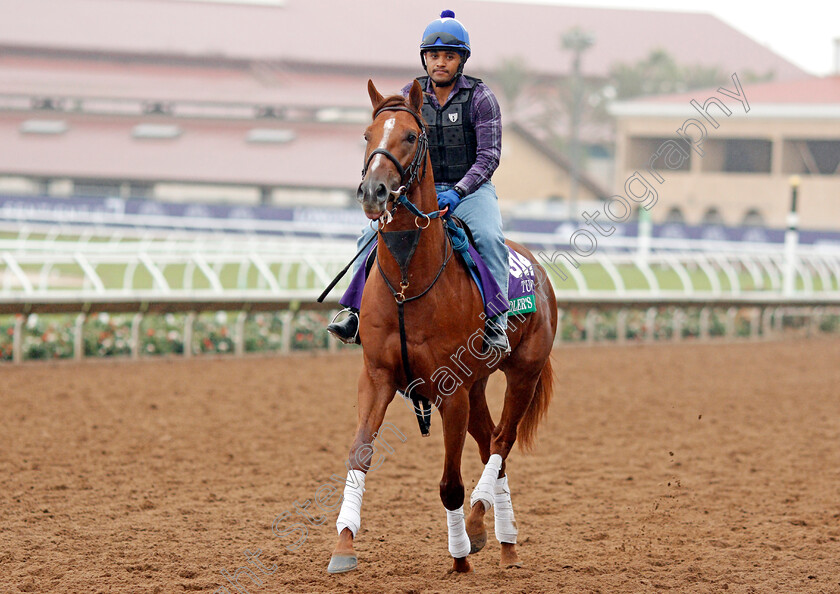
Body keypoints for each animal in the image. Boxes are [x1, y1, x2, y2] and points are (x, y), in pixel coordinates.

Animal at [328, 80, 556, 572]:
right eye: (367, 134)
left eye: (412, 136)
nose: (373, 192)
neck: (408, 282)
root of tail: (534, 265)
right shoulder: (377, 375)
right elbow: (360, 453)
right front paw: (344, 545)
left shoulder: (450, 391)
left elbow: (450, 483)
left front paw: (461, 554)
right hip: (477, 386)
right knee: (492, 445)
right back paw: (505, 542)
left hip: (523, 373)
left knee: (502, 441)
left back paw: (479, 524)